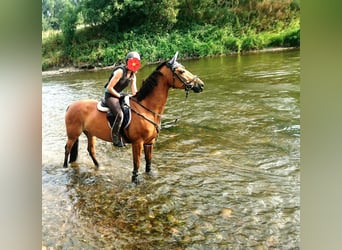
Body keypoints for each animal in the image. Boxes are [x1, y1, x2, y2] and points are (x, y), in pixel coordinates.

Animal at [63, 51, 204, 183]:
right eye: (181, 71)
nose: (201, 85)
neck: (147, 109)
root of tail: (71, 105)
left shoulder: (149, 143)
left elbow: (148, 163)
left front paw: (149, 176)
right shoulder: (138, 143)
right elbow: (136, 164)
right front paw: (135, 180)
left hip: (90, 133)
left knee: (91, 150)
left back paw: (99, 166)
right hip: (73, 134)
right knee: (67, 149)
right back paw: (65, 168)